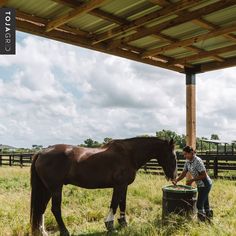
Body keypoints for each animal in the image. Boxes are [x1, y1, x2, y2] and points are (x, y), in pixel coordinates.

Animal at [30, 137, 177, 235]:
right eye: (173, 156)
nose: (174, 177)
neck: (129, 154)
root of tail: (42, 152)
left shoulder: (124, 186)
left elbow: (122, 203)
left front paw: (123, 223)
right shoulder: (119, 185)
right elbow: (115, 203)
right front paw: (110, 225)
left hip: (47, 189)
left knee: (41, 208)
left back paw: (43, 232)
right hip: (55, 188)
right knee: (55, 209)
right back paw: (65, 231)